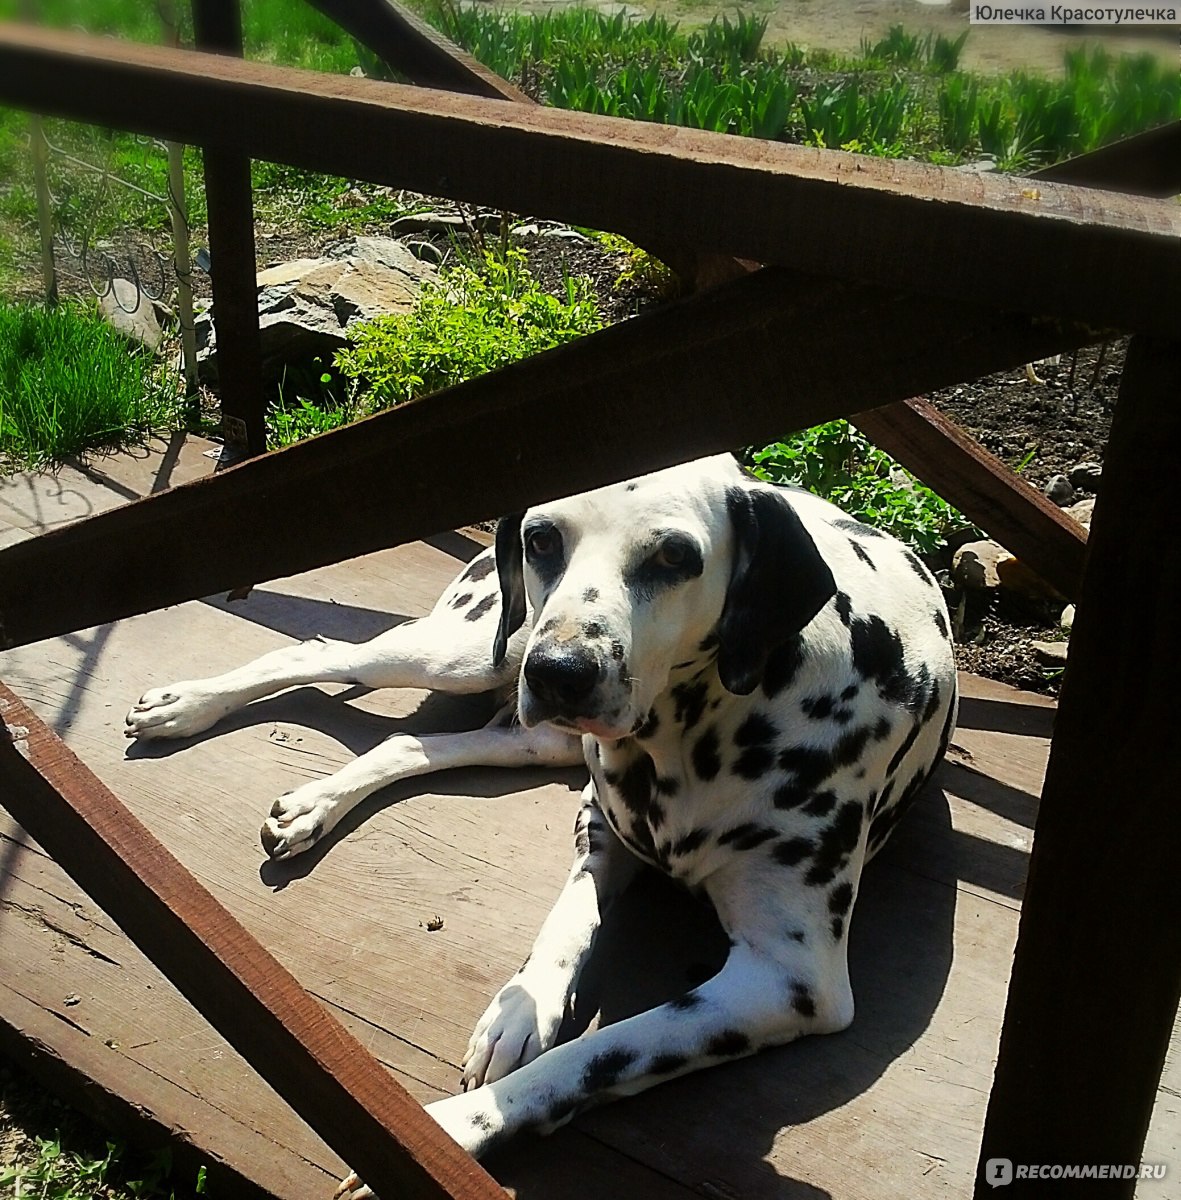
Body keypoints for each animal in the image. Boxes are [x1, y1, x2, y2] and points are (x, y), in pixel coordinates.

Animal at [126, 451, 960, 1190]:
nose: (561, 672)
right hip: (476, 653)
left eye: (674, 556)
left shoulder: (787, 977)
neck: (692, 732)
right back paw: (187, 706)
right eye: (542, 539)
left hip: (535, 731)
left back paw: (314, 804)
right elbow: (568, 921)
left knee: (408, 740)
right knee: (319, 649)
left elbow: (597, 1053)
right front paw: (519, 1012)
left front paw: (459, 1125)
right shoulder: (603, 821)